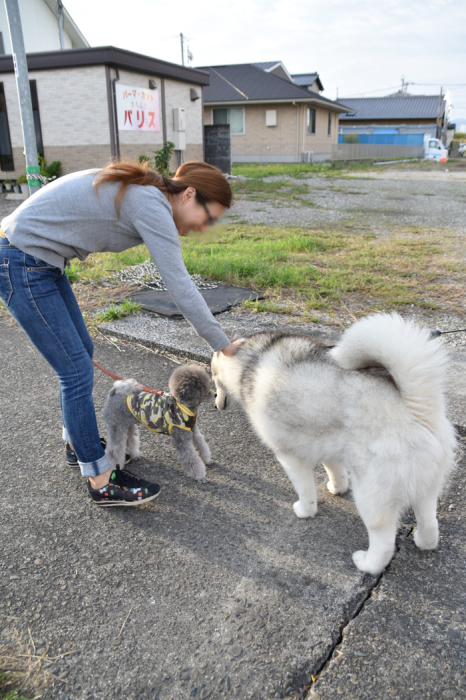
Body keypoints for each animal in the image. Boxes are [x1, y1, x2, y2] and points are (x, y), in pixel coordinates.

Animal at [210, 314, 456, 576]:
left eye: (213, 376)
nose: (216, 404)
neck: (250, 361)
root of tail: (415, 409)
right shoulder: (329, 444)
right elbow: (335, 470)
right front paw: (337, 488)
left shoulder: (289, 456)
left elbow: (306, 492)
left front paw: (305, 511)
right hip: (427, 487)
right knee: (430, 522)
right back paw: (423, 540)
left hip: (371, 496)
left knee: (383, 542)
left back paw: (367, 563)